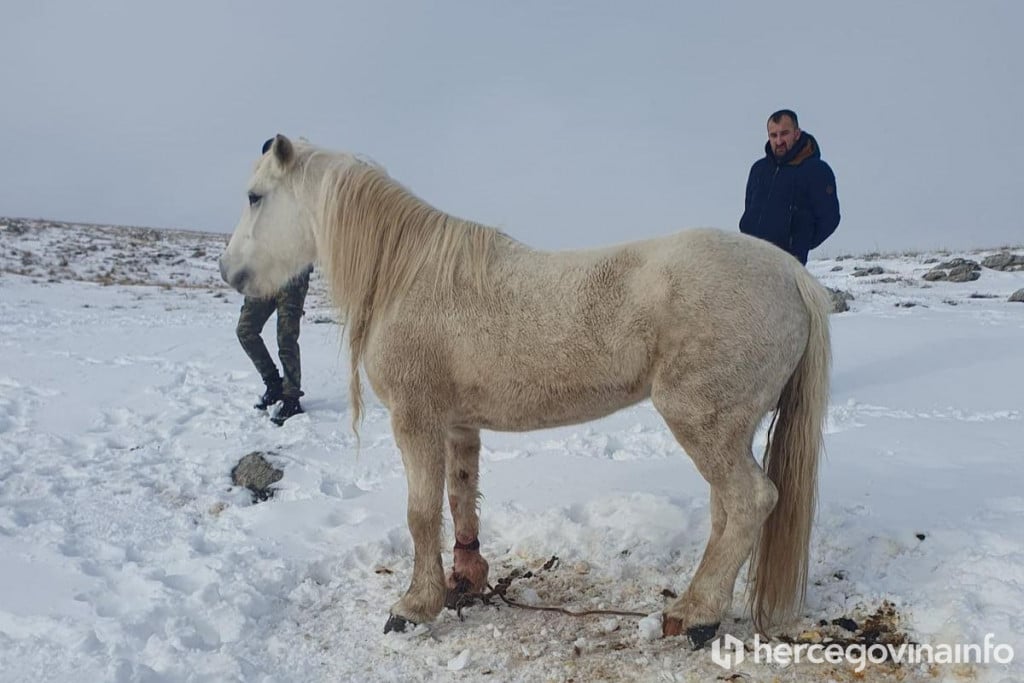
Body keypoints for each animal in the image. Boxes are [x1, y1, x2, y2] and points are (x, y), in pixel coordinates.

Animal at [218, 133, 831, 647]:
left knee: (751, 500)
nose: (229, 271)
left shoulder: (415, 419)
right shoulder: (457, 423)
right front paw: (464, 580)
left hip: (703, 422)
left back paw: (696, 615)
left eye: (254, 197)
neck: (407, 275)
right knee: (727, 510)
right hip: (728, 429)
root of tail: (789, 272)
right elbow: (460, 499)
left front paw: (414, 606)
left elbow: (421, 512)